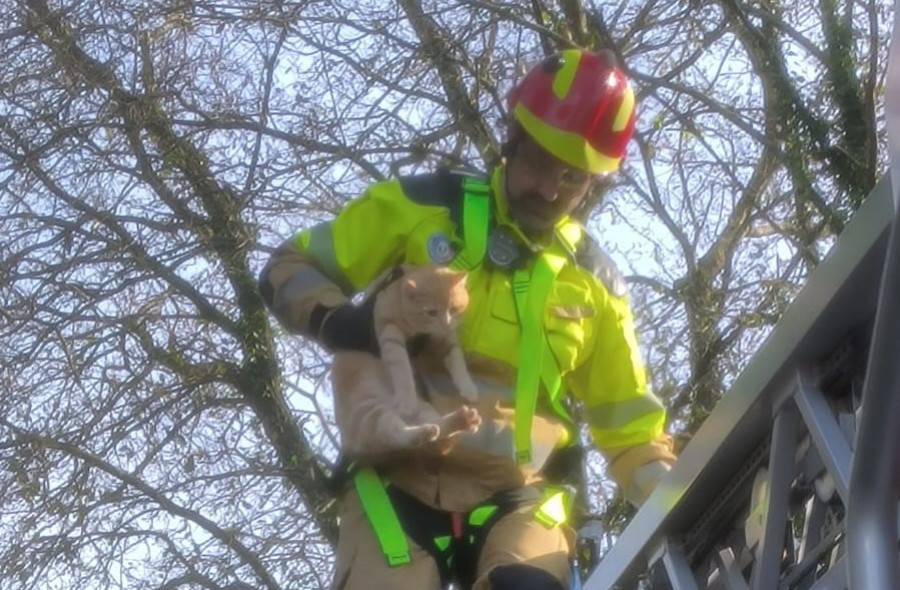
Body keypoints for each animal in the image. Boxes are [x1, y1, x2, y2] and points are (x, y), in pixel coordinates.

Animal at [330, 264, 482, 458]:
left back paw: (462, 420)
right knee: (392, 435)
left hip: (423, 409)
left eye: (453, 309)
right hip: (369, 409)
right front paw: (407, 399)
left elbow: (457, 361)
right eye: (431, 312)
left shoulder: (448, 339)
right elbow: (401, 368)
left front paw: (468, 387)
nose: (446, 324)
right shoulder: (390, 331)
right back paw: (421, 429)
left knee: (436, 431)